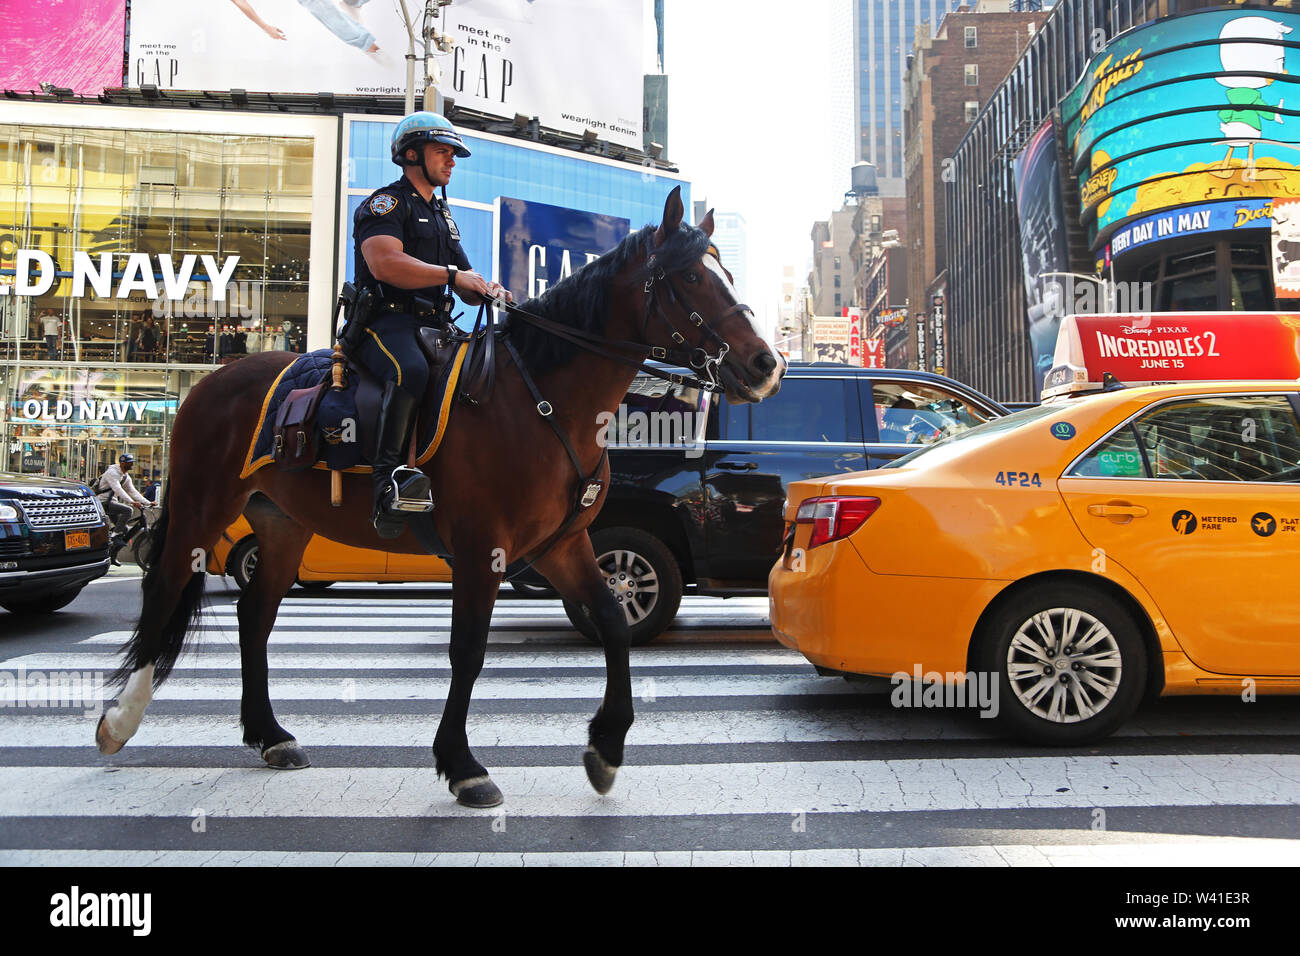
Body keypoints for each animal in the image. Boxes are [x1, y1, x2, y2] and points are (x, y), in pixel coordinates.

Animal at [96, 187, 780, 806]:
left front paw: (606, 746)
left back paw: (269, 735)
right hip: (200, 507)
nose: (765, 365)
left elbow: (612, 621)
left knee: (253, 617)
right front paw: (462, 764)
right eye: (690, 276)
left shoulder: (564, 544)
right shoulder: (482, 552)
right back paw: (120, 719)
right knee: (164, 591)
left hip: (283, 525)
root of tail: (213, 378)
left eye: (726, 273)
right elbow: (468, 651)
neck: (542, 400)